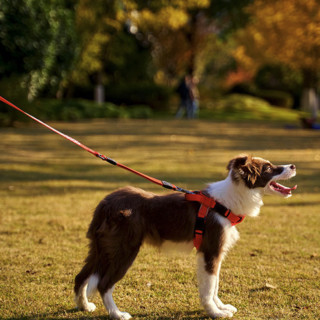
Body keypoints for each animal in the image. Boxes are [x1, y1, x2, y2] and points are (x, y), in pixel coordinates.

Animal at [74, 154, 296, 318]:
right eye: (268, 168)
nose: (293, 165)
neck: (227, 202)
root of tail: (106, 203)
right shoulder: (211, 250)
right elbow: (209, 287)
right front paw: (215, 312)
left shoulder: (214, 253)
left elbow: (214, 284)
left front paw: (221, 307)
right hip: (124, 249)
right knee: (103, 284)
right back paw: (117, 314)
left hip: (100, 247)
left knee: (81, 276)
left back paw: (84, 306)